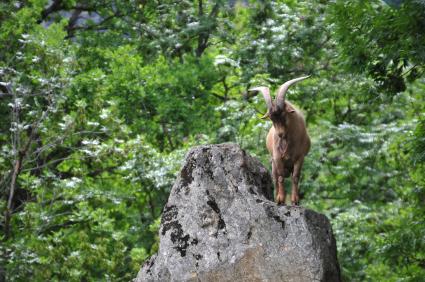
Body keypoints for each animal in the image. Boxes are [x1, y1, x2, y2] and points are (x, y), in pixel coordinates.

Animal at [250, 76, 310, 205]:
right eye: (271, 118)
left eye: (283, 114)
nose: (280, 134)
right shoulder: (277, 157)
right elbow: (280, 177)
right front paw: (280, 199)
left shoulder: (300, 157)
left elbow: (295, 177)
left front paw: (295, 200)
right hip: (273, 164)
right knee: (275, 178)